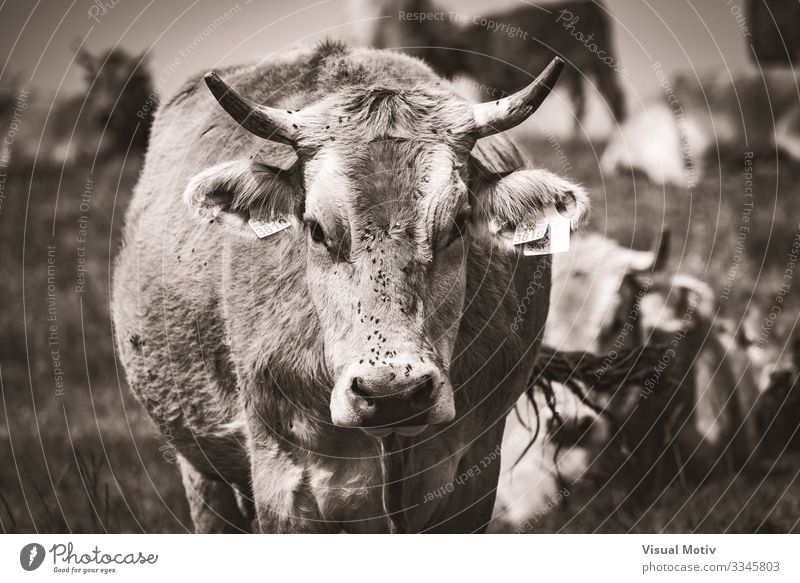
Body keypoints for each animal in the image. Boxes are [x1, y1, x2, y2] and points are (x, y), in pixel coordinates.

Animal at [111, 41, 588, 532]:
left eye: (457, 224)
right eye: (317, 229)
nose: (393, 394)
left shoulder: (472, 469)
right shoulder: (289, 481)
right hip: (199, 468)